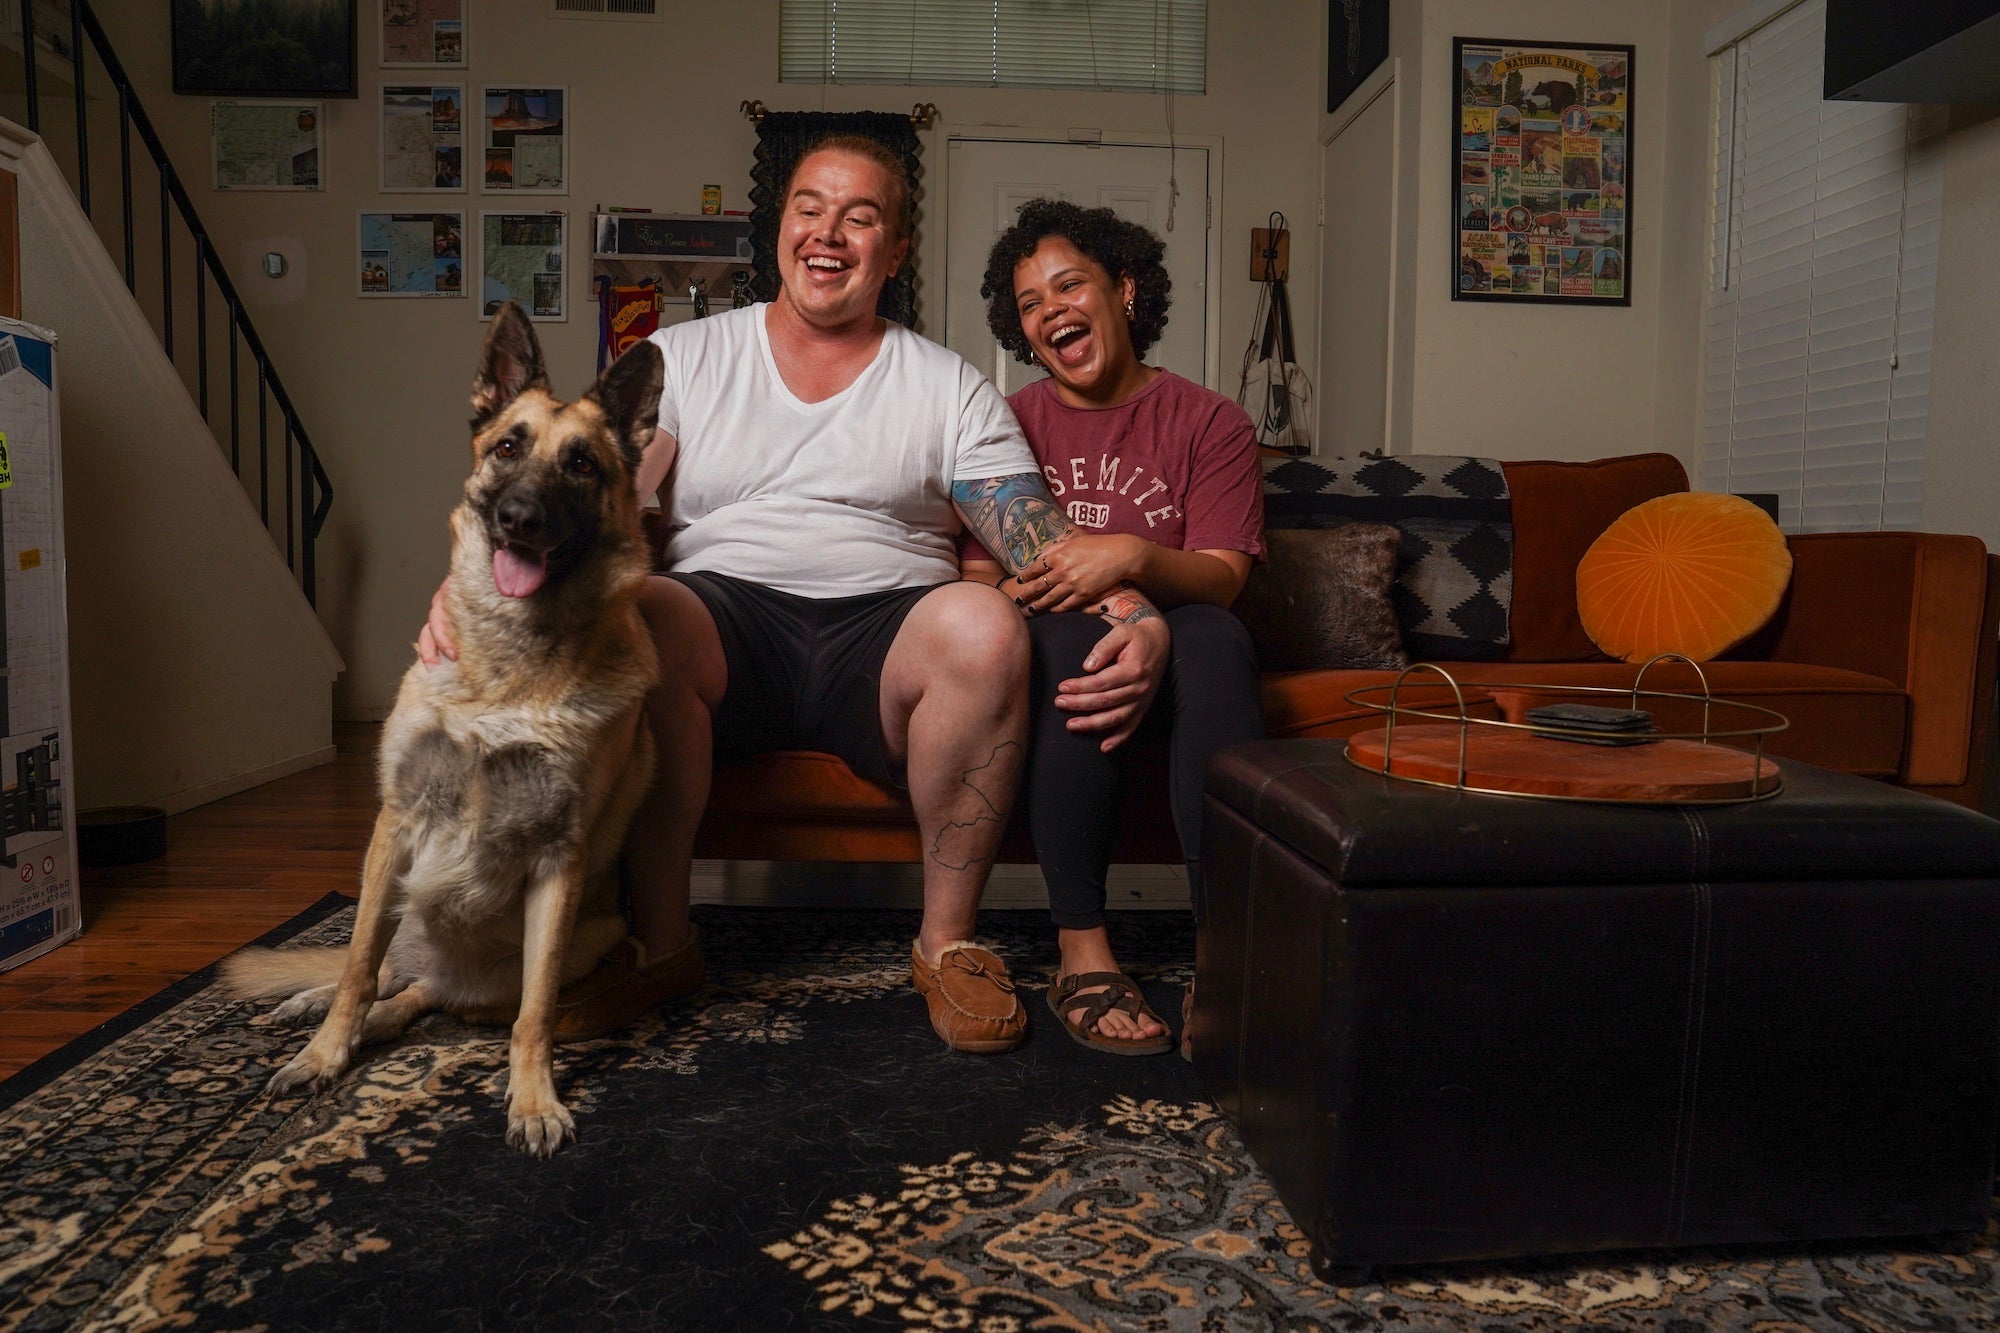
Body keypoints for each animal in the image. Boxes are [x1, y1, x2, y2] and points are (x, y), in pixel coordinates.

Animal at [225, 300, 664, 1152]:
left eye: (582, 465)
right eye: (507, 447)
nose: (519, 518)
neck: (506, 671)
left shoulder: (558, 863)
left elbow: (535, 1015)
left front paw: (533, 1098)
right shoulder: (395, 823)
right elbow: (356, 967)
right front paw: (323, 1053)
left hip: (570, 941)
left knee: (426, 996)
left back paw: (389, 1019)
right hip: (395, 892)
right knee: (378, 967)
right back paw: (317, 1011)